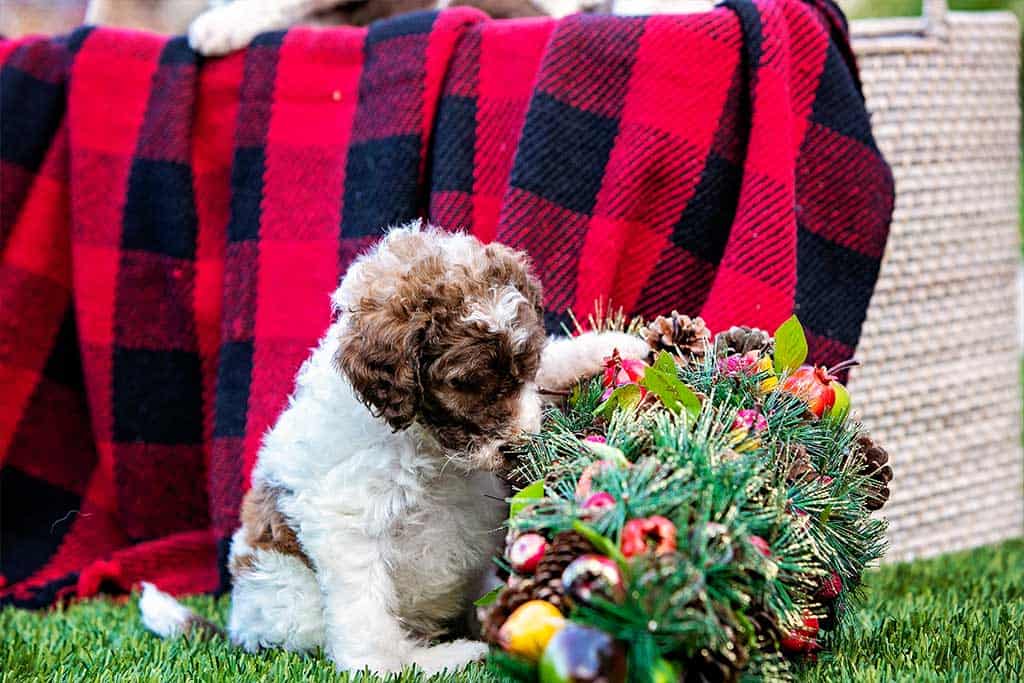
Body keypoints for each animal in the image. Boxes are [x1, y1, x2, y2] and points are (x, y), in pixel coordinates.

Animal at [138, 223, 647, 671]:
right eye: (465, 383)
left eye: (525, 365)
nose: (521, 447)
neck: (425, 444)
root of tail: (241, 627)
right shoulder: (346, 521)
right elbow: (365, 614)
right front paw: (383, 668)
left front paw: (616, 346)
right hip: (292, 593)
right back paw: (446, 656)